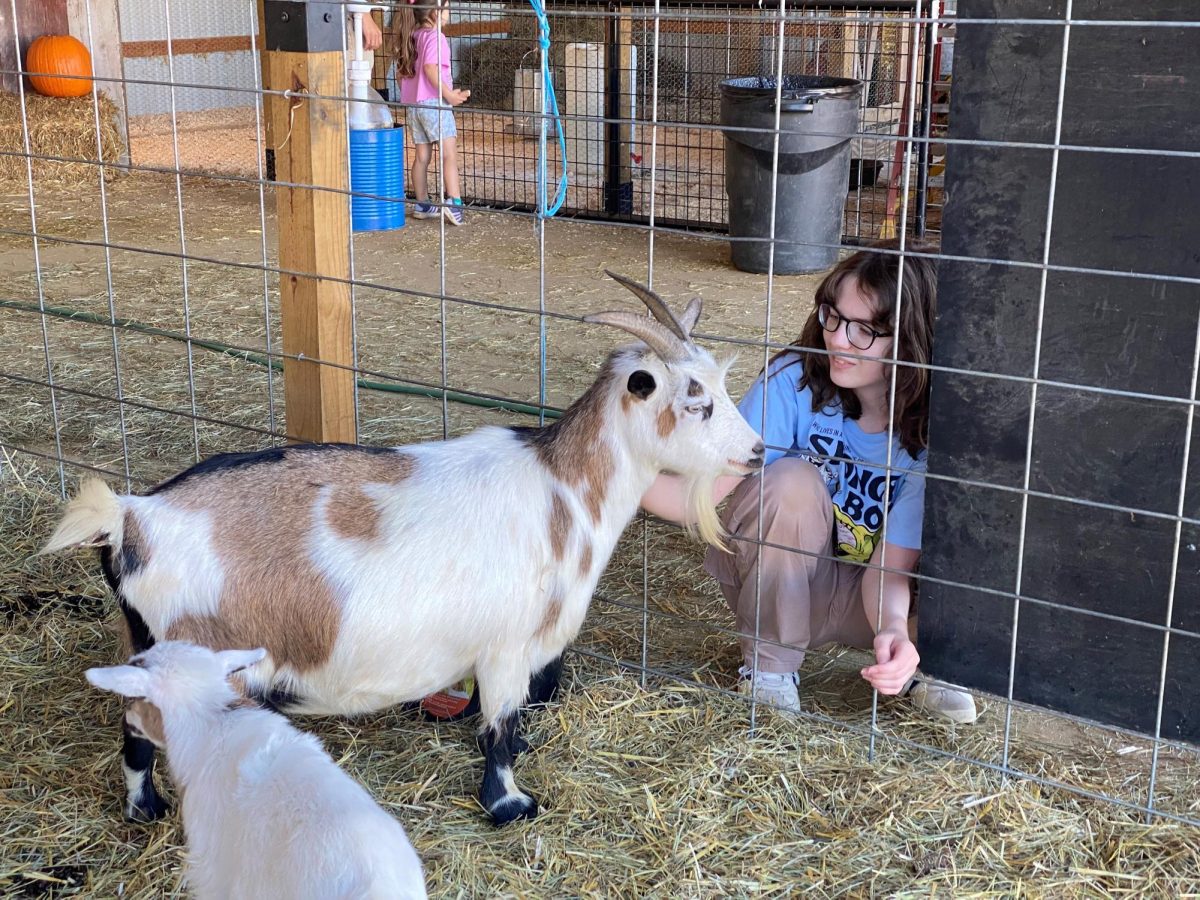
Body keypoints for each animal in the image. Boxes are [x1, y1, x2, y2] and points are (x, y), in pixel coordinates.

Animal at [49, 273, 768, 825]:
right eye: (694, 400)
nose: (758, 451)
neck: (562, 490)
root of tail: (134, 518)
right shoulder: (506, 646)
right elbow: (499, 729)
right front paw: (510, 805)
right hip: (192, 664)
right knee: (140, 728)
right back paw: (147, 810)